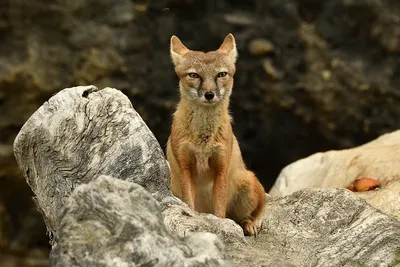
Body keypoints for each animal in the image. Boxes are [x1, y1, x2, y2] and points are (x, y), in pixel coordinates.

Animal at [166, 33, 266, 237]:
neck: (203, 140)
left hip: (249, 183)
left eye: (221, 74)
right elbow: (189, 205)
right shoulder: (186, 168)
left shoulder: (221, 169)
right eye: (194, 75)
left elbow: (220, 212)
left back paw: (249, 224)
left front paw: (222, 228)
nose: (209, 94)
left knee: (251, 212)